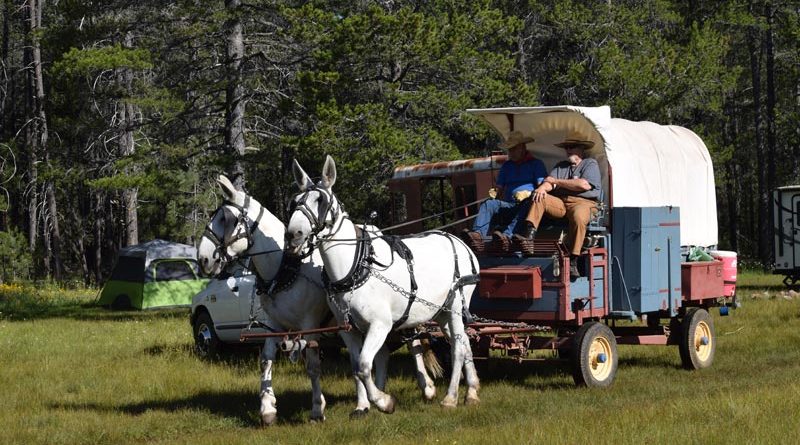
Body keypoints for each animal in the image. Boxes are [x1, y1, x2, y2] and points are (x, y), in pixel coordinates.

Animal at [197, 175, 439, 424]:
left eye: (227, 218)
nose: (203, 259)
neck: (286, 268)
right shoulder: (274, 325)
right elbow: (266, 359)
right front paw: (268, 409)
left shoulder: (309, 325)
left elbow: (313, 366)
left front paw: (317, 408)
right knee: (380, 354)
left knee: (414, 344)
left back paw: (427, 388)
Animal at [285, 155, 481, 412]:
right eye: (295, 202)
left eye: (321, 200)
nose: (293, 234)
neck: (355, 267)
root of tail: (460, 242)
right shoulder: (347, 330)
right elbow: (356, 367)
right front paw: (365, 404)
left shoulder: (380, 325)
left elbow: (364, 365)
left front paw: (383, 400)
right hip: (441, 312)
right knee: (466, 343)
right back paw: (472, 392)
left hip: (457, 307)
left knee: (457, 348)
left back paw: (450, 397)